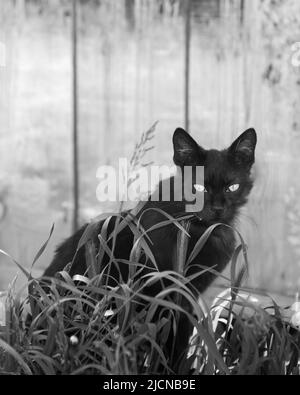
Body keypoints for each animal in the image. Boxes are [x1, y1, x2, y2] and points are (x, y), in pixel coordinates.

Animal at [43, 127, 256, 374]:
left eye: (233, 187)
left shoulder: (188, 298)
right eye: (198, 188)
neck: (202, 231)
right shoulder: (165, 297)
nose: (218, 208)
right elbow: (172, 346)